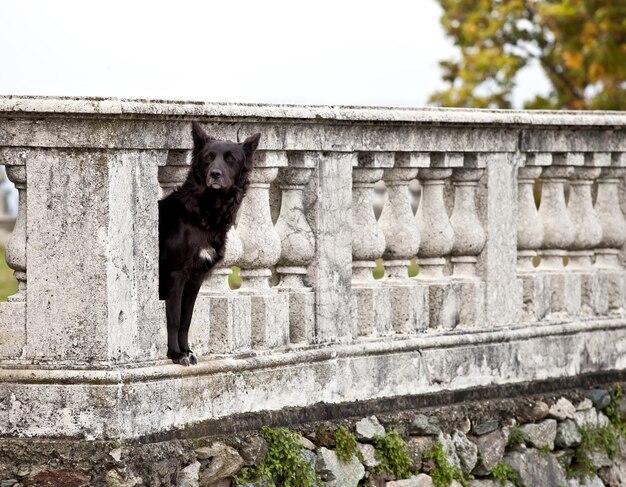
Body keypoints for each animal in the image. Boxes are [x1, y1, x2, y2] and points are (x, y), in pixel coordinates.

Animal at [160, 123, 260, 366]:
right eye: (208, 158)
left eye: (231, 159)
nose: (215, 174)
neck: (201, 214)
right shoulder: (175, 276)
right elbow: (174, 318)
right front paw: (176, 355)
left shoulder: (195, 279)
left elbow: (186, 319)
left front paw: (186, 351)